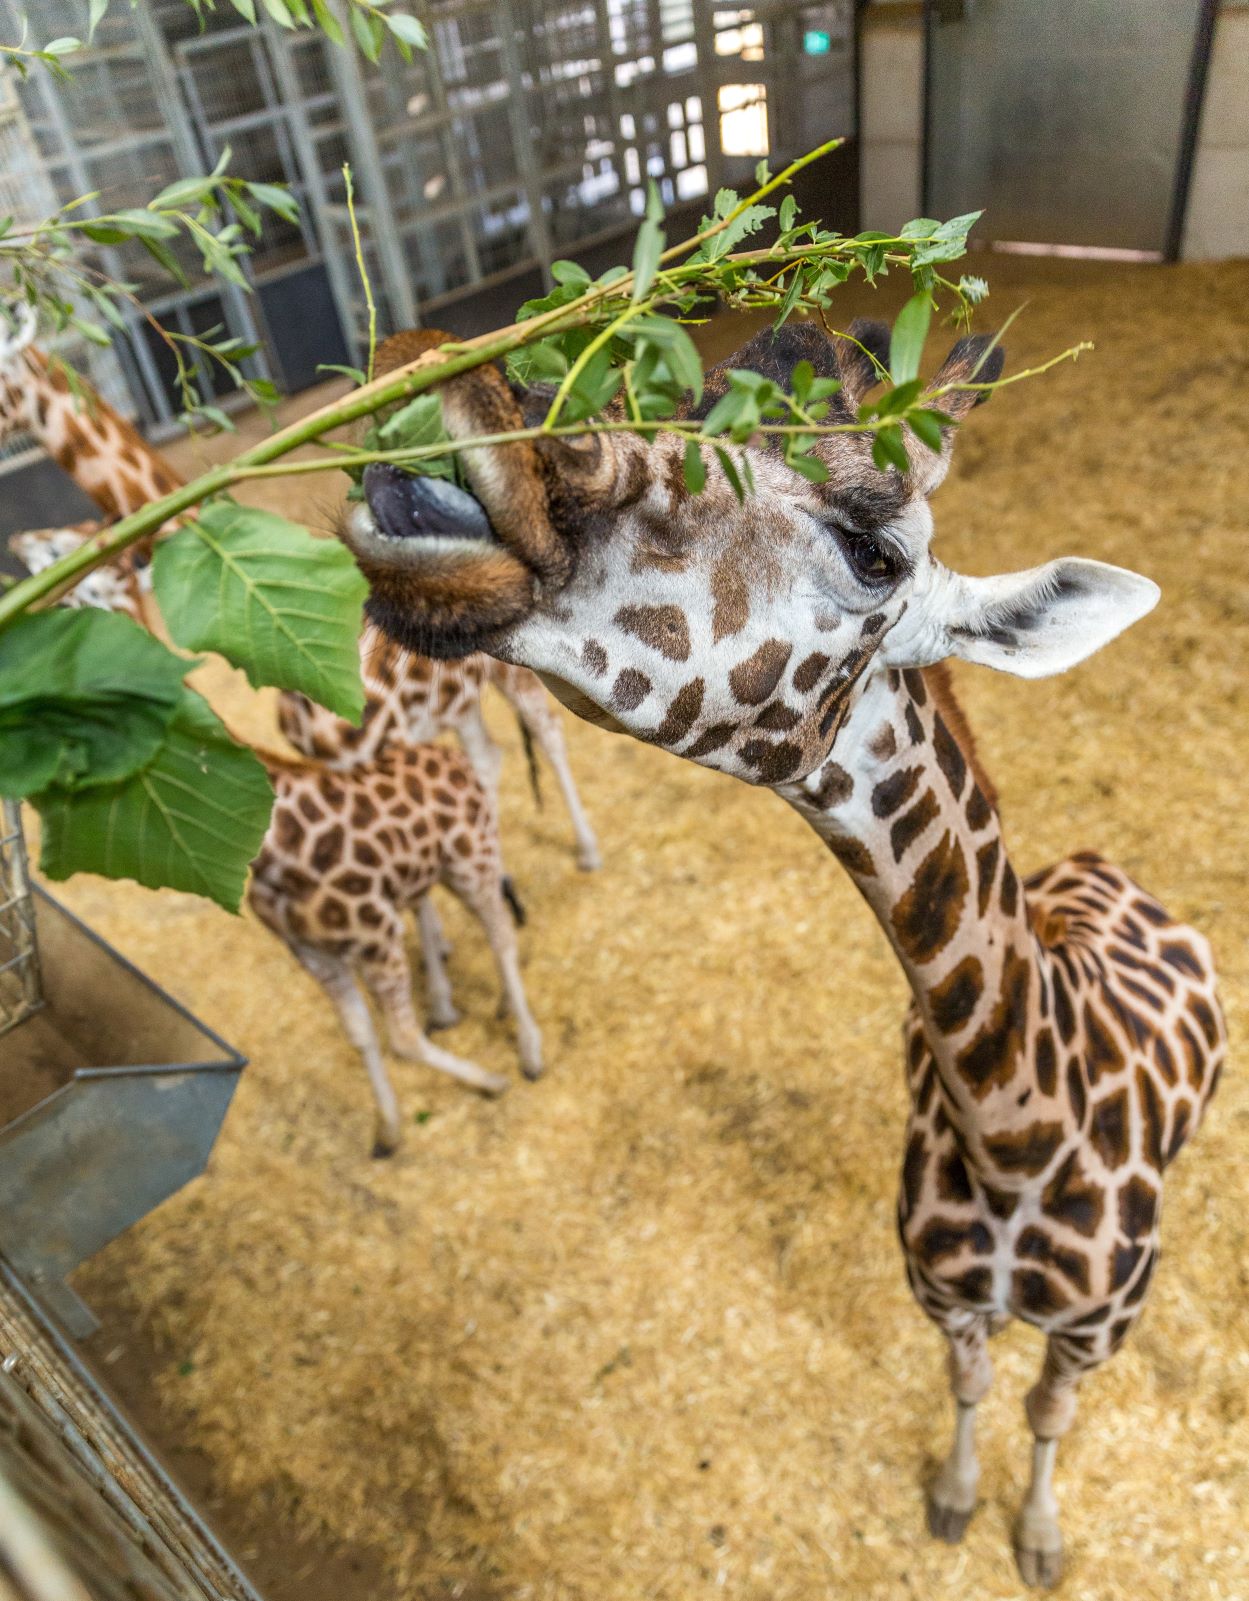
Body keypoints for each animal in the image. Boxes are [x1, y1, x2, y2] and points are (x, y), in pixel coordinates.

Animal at [0, 310, 598, 877]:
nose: (19, 542)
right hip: (458, 701)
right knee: (489, 759)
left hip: (507, 675)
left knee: (546, 731)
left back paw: (584, 849)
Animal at [336, 318, 1223, 1581]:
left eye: (874, 553)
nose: (433, 381)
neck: (1014, 1142)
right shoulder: (938, 1293)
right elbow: (969, 1383)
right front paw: (955, 1500)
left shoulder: (1097, 1327)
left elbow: (1046, 1411)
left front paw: (1037, 1538)